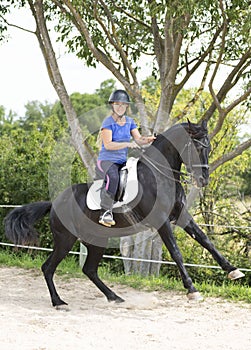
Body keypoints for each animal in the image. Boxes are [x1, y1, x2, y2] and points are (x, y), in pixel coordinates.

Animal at [3, 121, 243, 308]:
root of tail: (54, 202)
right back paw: (58, 302)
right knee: (48, 268)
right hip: (66, 239)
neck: (160, 175)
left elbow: (205, 240)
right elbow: (176, 253)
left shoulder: (181, 216)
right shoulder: (162, 222)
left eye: (208, 148)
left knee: (89, 270)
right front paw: (192, 290)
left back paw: (114, 297)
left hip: (96, 240)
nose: (203, 180)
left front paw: (233, 270)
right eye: (195, 147)